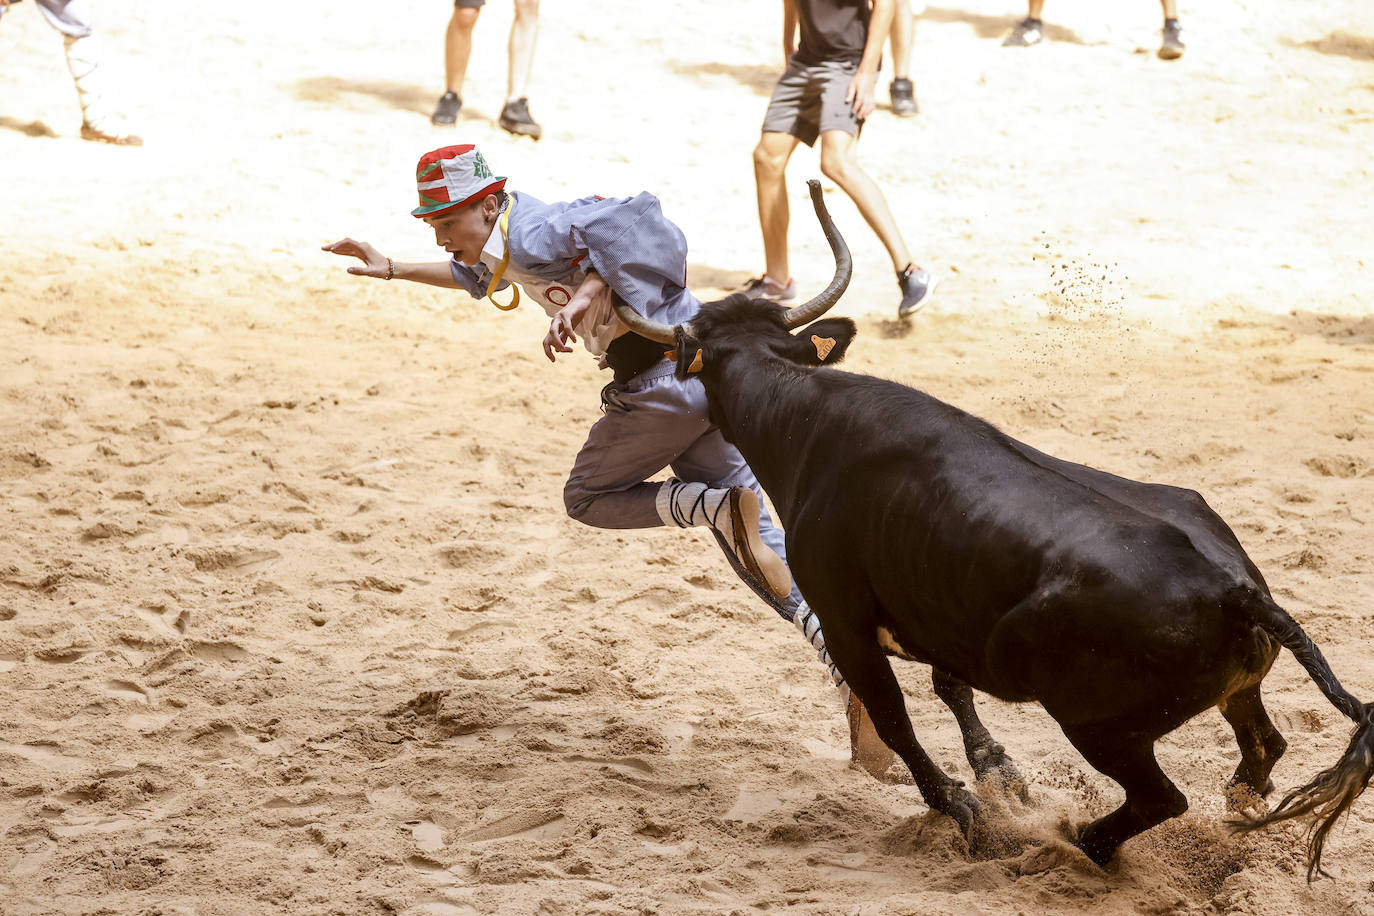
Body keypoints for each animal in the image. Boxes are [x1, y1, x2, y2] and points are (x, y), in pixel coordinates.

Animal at [615, 182, 1374, 878]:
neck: (803, 414)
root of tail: (1237, 589)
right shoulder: (937, 604)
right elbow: (951, 687)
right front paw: (998, 773)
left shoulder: (845, 619)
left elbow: (892, 713)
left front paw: (962, 806)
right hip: (1228, 693)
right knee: (1262, 747)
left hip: (1097, 724)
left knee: (1162, 798)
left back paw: (1081, 843)